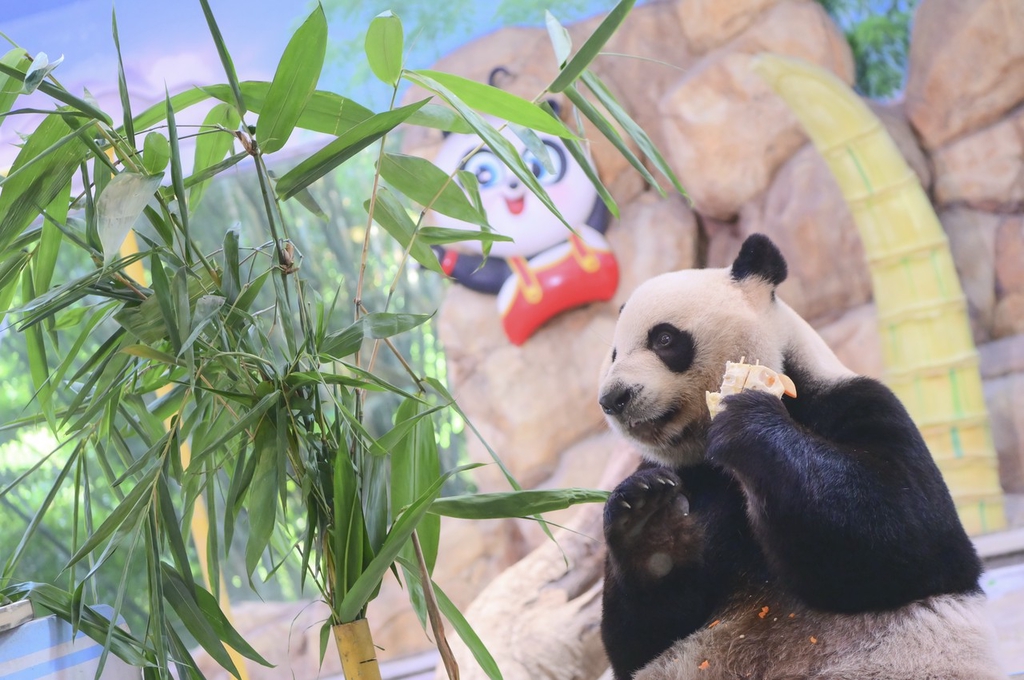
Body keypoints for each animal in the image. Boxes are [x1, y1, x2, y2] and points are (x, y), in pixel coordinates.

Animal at [598, 235, 1003, 680]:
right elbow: (639, 639)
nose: (613, 398)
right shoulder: (683, 474)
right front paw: (650, 523)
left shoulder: (857, 402)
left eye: (664, 339)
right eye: (614, 353)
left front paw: (746, 418)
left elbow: (914, 526)